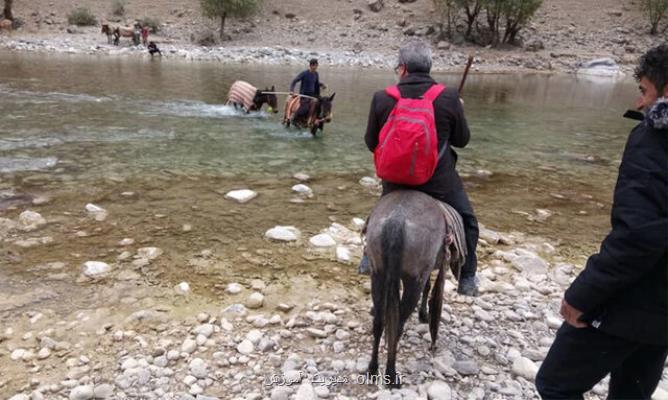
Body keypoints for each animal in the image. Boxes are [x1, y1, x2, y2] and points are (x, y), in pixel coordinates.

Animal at [366, 191, 464, 388]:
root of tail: (396, 219)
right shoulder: (423, 274)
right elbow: (427, 288)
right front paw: (424, 315)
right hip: (413, 281)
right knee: (397, 325)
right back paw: (391, 375)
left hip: (378, 275)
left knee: (379, 322)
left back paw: (372, 369)